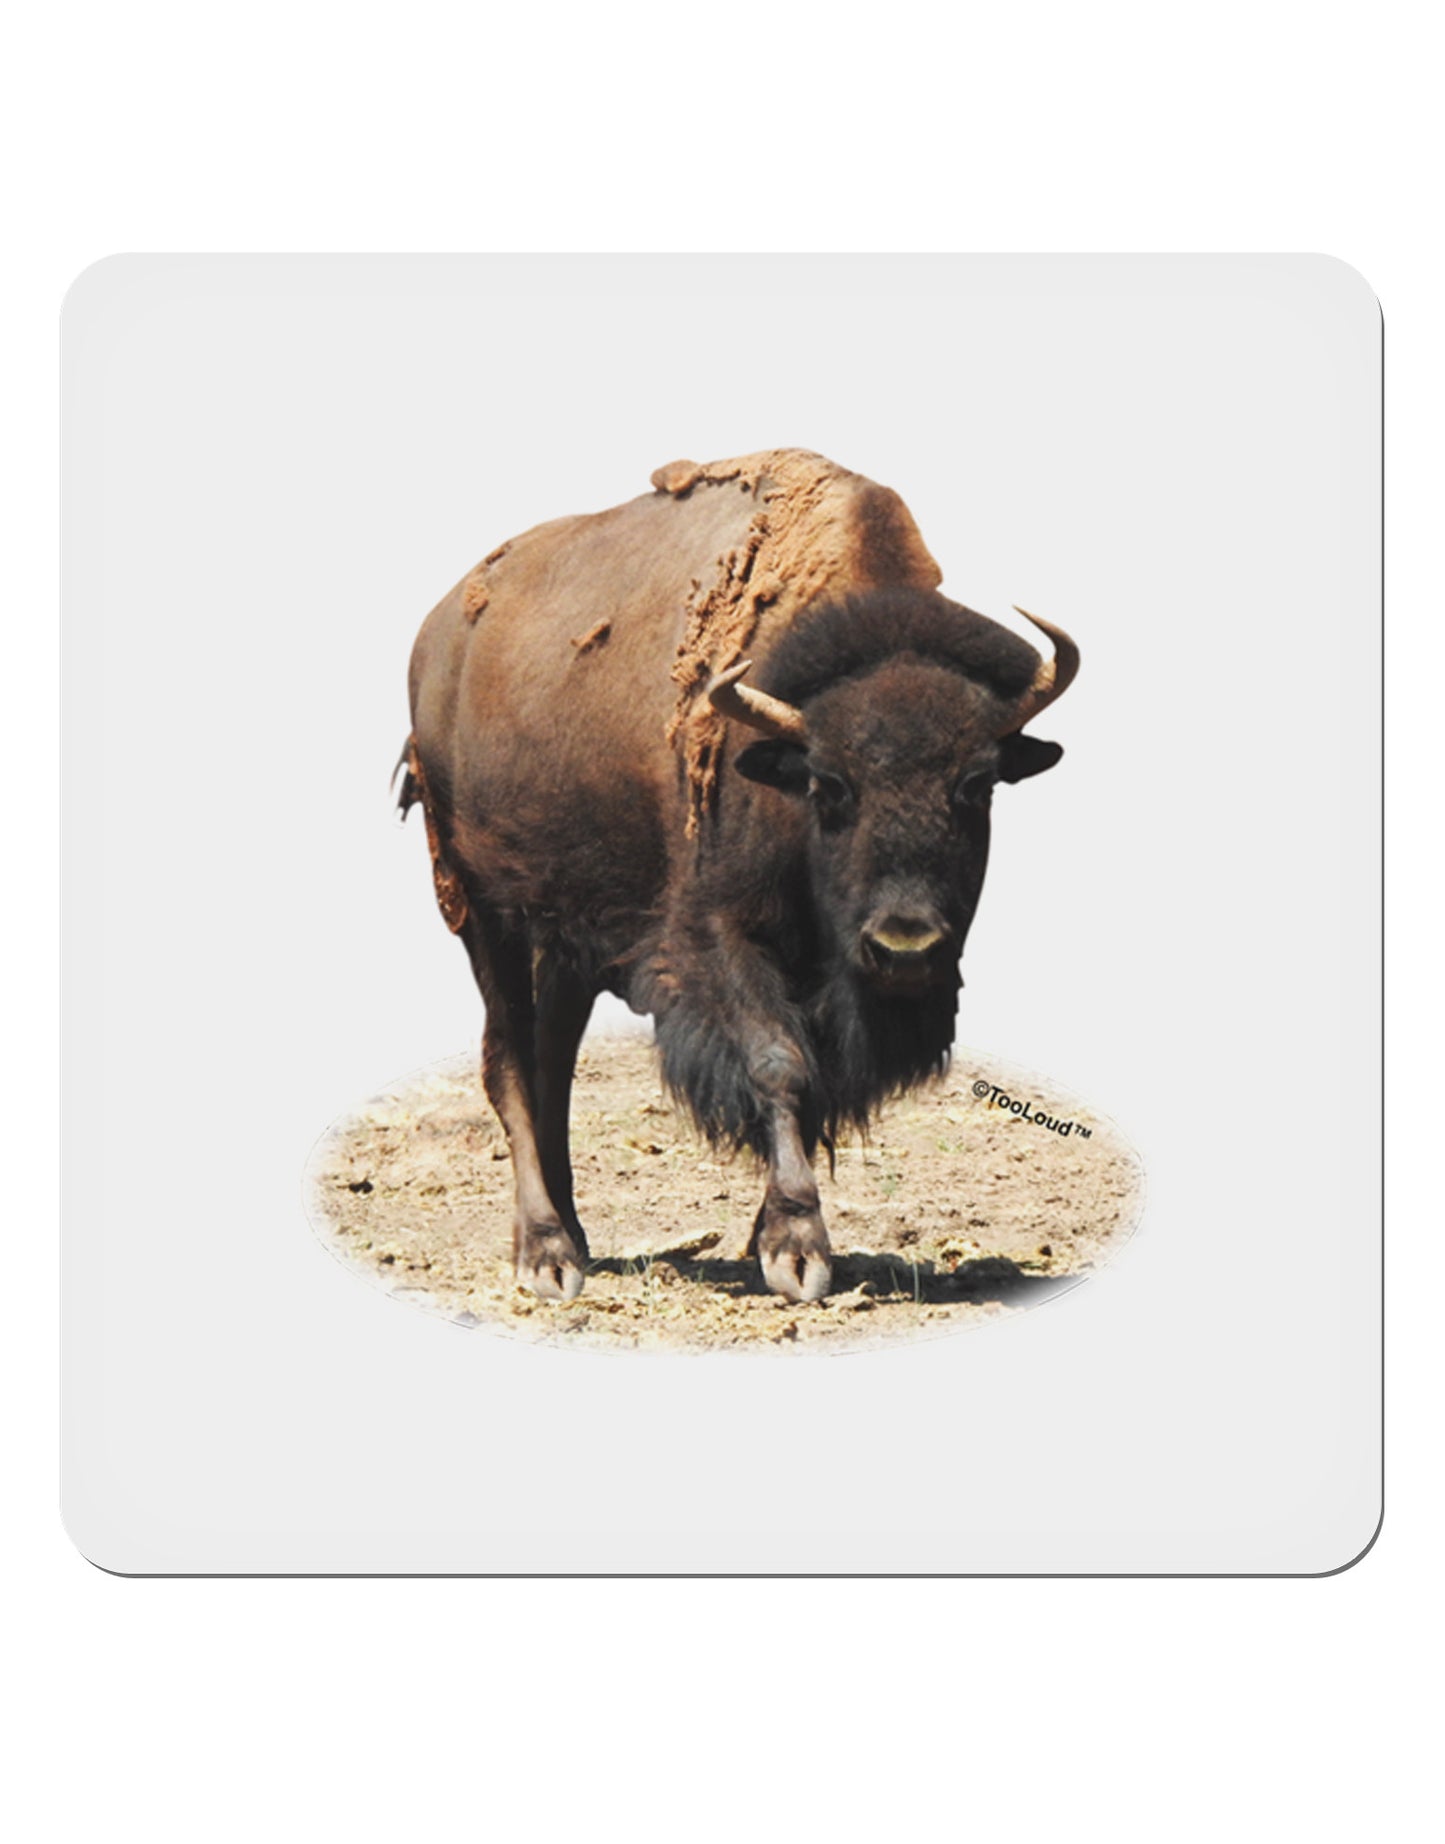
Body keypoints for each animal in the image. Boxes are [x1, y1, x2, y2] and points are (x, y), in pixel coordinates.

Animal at [400, 449, 1078, 1304]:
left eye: (977, 784)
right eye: (828, 785)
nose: (904, 946)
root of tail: (437, 639)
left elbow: (815, 1083)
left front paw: (772, 1236)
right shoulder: (720, 935)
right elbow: (776, 1065)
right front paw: (796, 1250)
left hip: (569, 939)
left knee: (553, 1061)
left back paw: (577, 1238)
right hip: (481, 908)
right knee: (510, 1061)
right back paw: (546, 1254)